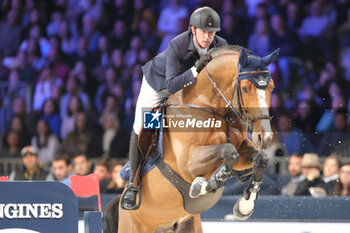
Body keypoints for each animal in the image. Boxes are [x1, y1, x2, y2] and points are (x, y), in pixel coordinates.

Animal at [116, 46, 280, 233]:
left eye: (271, 88)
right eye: (245, 89)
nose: (264, 137)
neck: (208, 106)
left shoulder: (242, 149)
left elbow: (260, 159)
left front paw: (244, 206)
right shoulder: (188, 163)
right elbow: (228, 151)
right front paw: (203, 184)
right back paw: (130, 196)